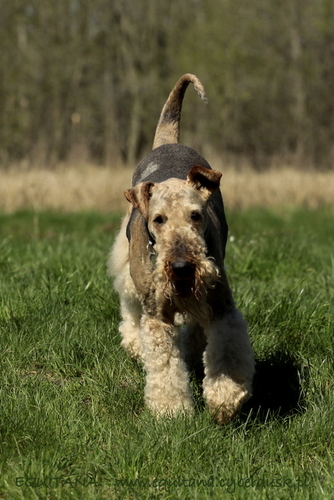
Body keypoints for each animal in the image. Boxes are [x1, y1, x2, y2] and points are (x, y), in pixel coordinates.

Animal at [109, 72, 253, 422]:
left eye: (196, 215)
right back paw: (135, 345)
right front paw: (171, 412)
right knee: (130, 311)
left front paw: (224, 400)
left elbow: (227, 352)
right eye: (158, 219)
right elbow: (165, 369)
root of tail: (167, 142)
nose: (182, 267)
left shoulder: (221, 307)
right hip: (129, 274)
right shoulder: (157, 317)